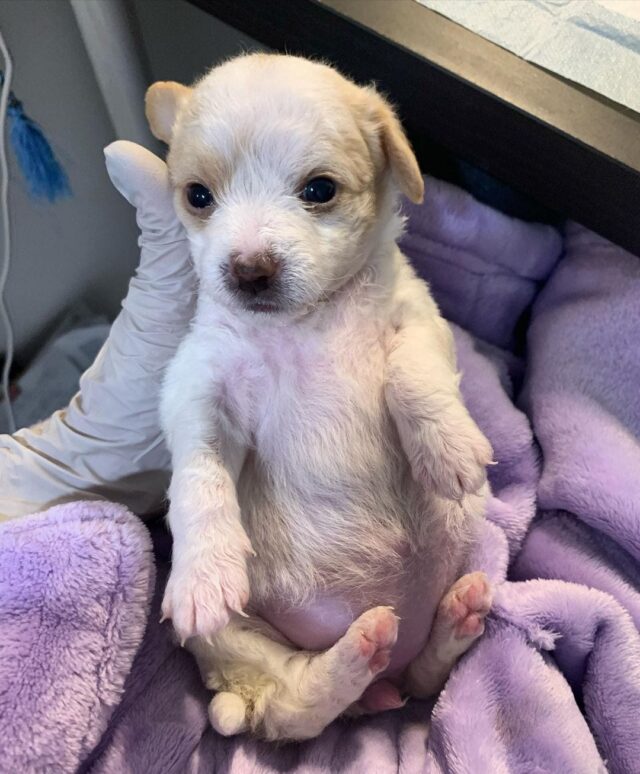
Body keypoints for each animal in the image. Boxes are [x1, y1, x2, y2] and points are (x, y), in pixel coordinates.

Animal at [148, 51, 492, 744]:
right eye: (198, 196)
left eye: (319, 190)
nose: (248, 269)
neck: (304, 323)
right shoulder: (196, 389)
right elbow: (199, 476)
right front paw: (202, 569)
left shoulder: (419, 321)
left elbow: (413, 374)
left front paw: (447, 447)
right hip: (242, 643)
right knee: (297, 703)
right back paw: (355, 654)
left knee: (425, 680)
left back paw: (453, 621)